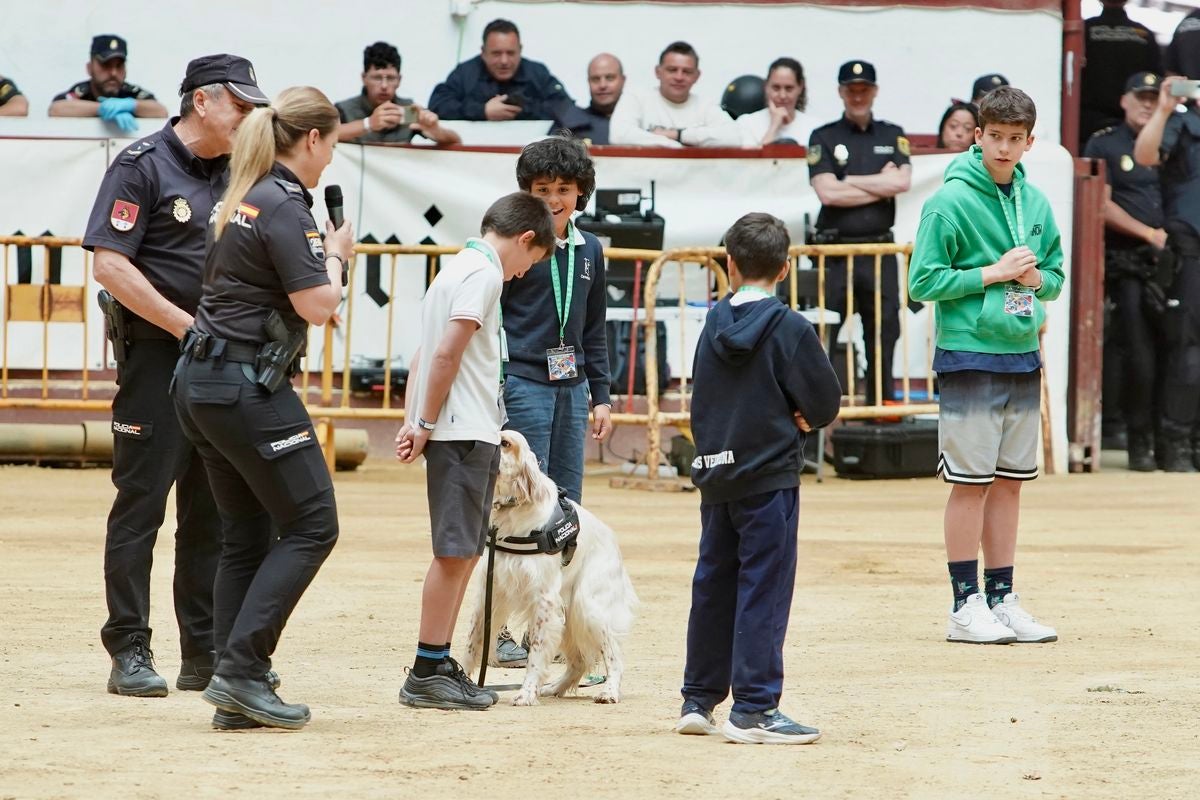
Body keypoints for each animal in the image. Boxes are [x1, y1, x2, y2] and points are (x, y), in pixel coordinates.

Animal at [460, 429, 638, 705]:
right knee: (578, 662)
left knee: (613, 655)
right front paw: (463, 684)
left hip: (587, 607)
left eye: (505, 443)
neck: (512, 511)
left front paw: (526, 693)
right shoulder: (490, 593)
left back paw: (609, 691)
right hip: (568, 615)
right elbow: (472, 644)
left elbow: (535, 653)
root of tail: (614, 546)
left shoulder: (543, 599)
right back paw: (553, 688)